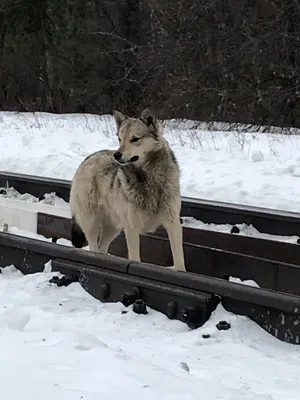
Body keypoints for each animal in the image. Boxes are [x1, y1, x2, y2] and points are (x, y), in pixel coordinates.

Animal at [69, 107, 185, 272]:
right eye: (120, 139)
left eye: (134, 139)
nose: (117, 155)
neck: (149, 179)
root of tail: (88, 158)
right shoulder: (132, 228)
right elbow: (135, 259)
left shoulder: (173, 223)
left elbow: (180, 261)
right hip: (92, 224)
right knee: (94, 248)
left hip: (114, 229)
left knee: (102, 249)